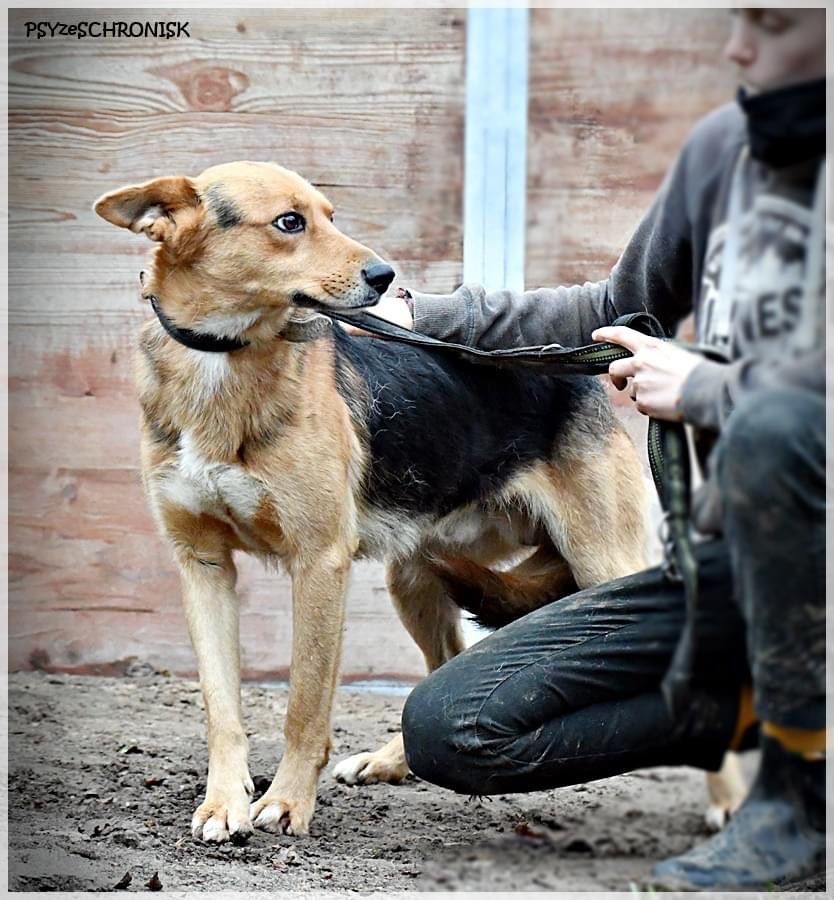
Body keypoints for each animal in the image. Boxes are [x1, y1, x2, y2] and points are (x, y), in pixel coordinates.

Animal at [92, 163, 740, 844]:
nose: (385, 277)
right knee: (440, 669)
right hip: (416, 569)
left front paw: (288, 803)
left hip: (603, 562)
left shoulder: (319, 563)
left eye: (330, 215)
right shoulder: (203, 566)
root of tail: (571, 371)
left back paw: (727, 800)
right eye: (290, 223)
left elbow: (304, 705)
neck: (220, 355)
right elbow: (221, 706)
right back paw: (391, 760)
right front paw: (224, 802)